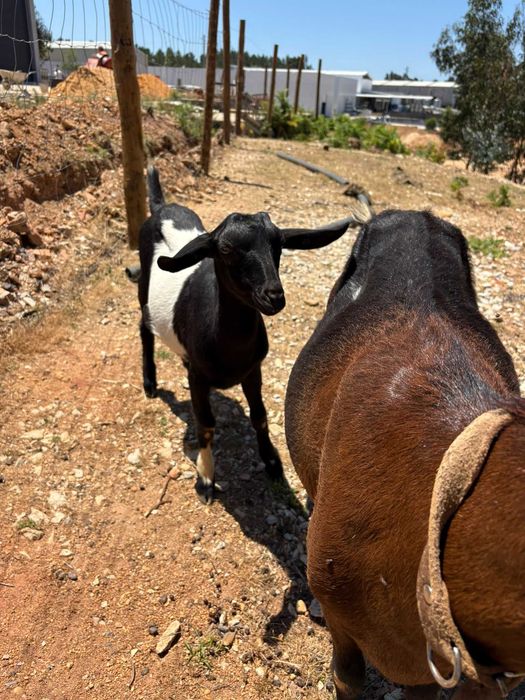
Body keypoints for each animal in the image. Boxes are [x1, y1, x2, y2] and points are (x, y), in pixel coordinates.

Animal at [138, 166, 351, 504]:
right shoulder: (198, 377)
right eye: (225, 249)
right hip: (143, 285)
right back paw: (149, 383)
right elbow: (205, 424)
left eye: (279, 244)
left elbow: (259, 415)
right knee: (143, 328)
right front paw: (206, 479)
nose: (273, 296)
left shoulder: (253, 369)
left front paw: (273, 463)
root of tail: (161, 207)